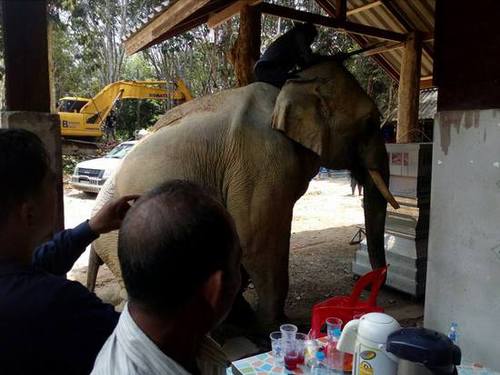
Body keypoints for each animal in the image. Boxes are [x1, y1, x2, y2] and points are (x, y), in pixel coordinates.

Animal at [86, 60, 398, 324]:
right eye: (370, 123)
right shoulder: (261, 161)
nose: (377, 280)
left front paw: (248, 318)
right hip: (119, 244)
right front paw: (275, 326)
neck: (290, 86)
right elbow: (258, 242)